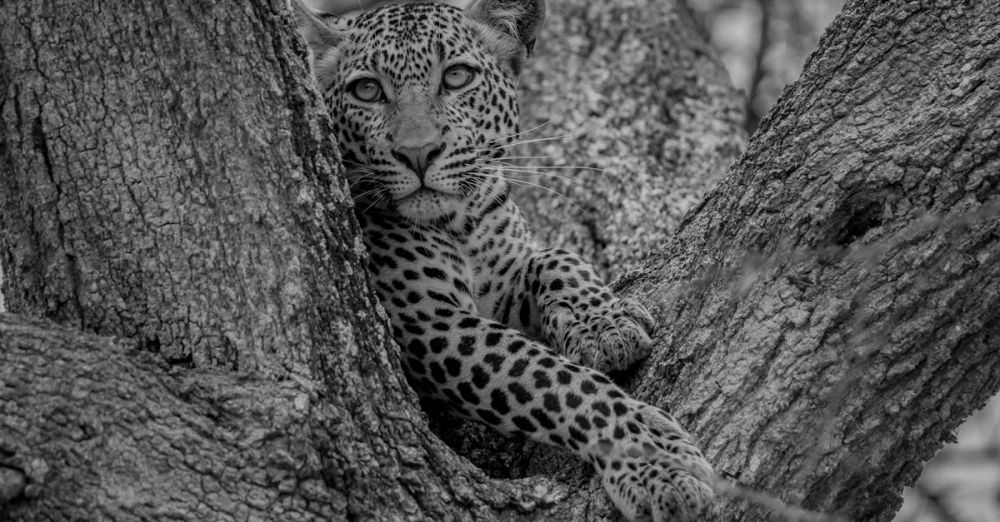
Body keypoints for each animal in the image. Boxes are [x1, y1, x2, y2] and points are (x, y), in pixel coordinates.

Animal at [292, 0, 716, 516]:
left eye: (456, 77)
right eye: (367, 90)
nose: (418, 153)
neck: (464, 222)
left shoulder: (503, 285)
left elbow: (555, 256)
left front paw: (604, 325)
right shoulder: (429, 322)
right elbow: (551, 379)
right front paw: (655, 460)